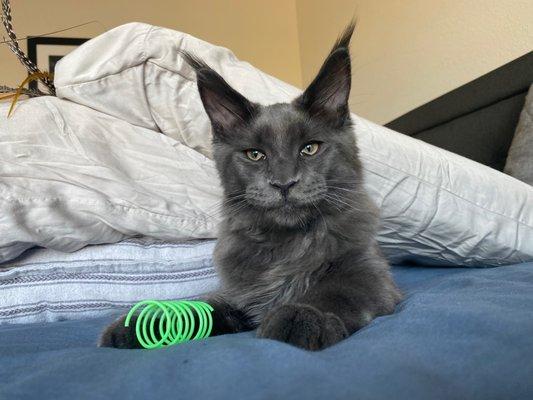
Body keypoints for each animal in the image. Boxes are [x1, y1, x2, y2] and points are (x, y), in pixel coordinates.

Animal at [100, 24, 400, 350]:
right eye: (255, 154)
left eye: (310, 148)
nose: (284, 183)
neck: (287, 245)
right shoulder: (237, 295)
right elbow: (200, 307)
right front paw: (140, 325)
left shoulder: (370, 274)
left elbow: (334, 293)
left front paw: (301, 316)